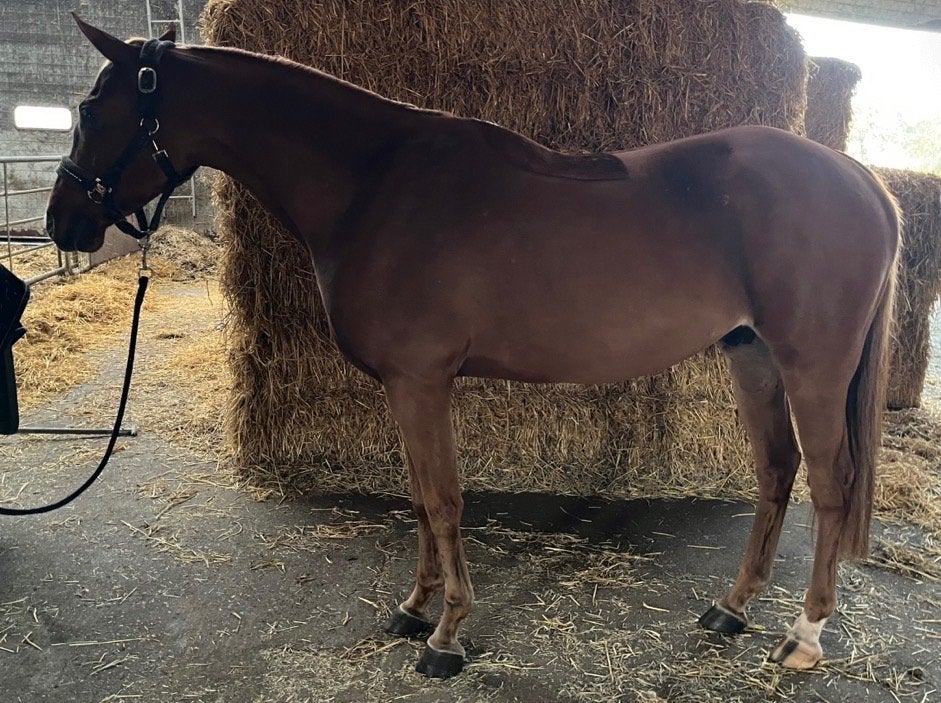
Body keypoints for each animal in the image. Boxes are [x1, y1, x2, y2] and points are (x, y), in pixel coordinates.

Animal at [47, 16, 900, 679]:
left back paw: (803, 634)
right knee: (776, 471)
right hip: (750, 354)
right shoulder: (403, 385)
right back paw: (730, 607)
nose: (62, 223)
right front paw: (412, 608)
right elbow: (419, 498)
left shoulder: (421, 380)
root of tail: (858, 176)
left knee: (829, 483)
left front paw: (447, 634)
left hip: (811, 366)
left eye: (90, 109)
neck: (374, 184)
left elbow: (444, 499)